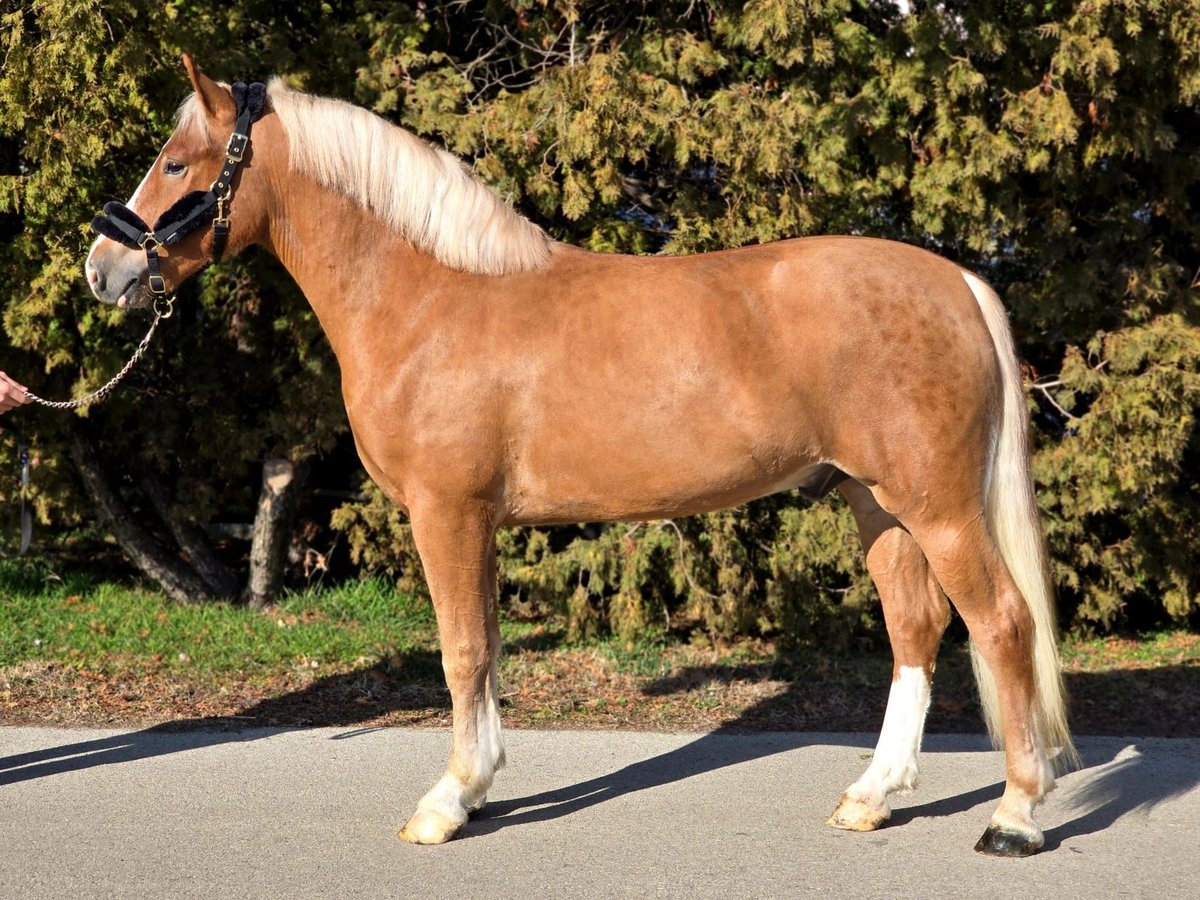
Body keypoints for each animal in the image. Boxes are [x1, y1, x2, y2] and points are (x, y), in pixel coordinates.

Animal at [84, 56, 1080, 859]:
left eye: (176, 163)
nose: (102, 269)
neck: (430, 297)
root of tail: (956, 281)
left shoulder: (446, 513)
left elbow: (459, 652)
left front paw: (447, 803)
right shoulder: (475, 522)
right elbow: (486, 648)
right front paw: (479, 786)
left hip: (938, 505)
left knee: (1001, 623)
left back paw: (1016, 815)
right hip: (876, 502)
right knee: (916, 629)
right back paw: (872, 797)